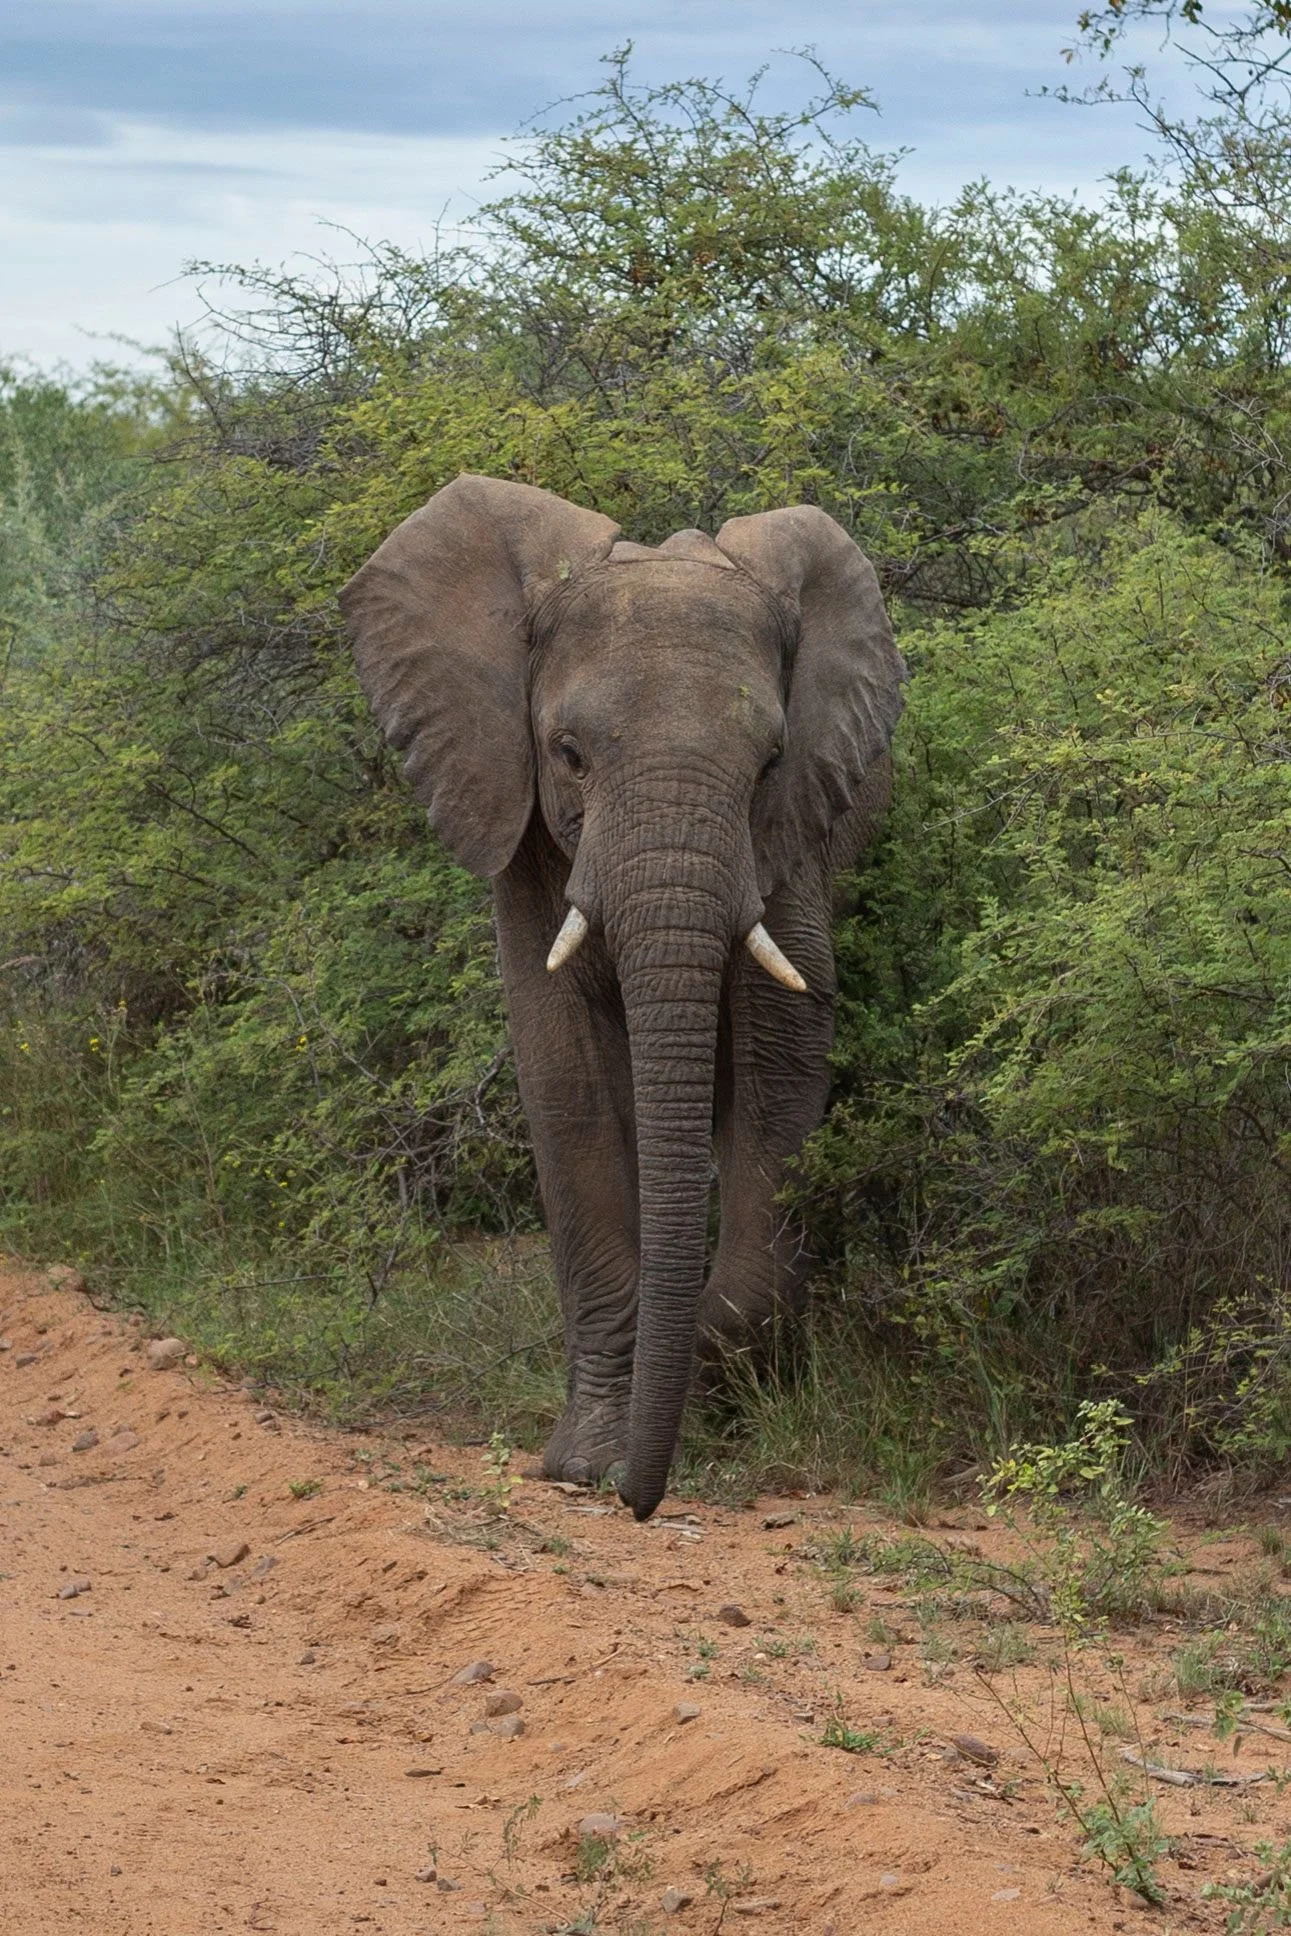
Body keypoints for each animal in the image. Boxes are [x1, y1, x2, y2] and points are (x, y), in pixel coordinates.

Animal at [339, 474, 905, 1522]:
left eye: (770, 764)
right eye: (566, 753)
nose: (641, 1507)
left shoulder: (792, 836)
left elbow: (783, 1051)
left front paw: (712, 1386)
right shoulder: (517, 826)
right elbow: (566, 1075)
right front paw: (588, 1463)